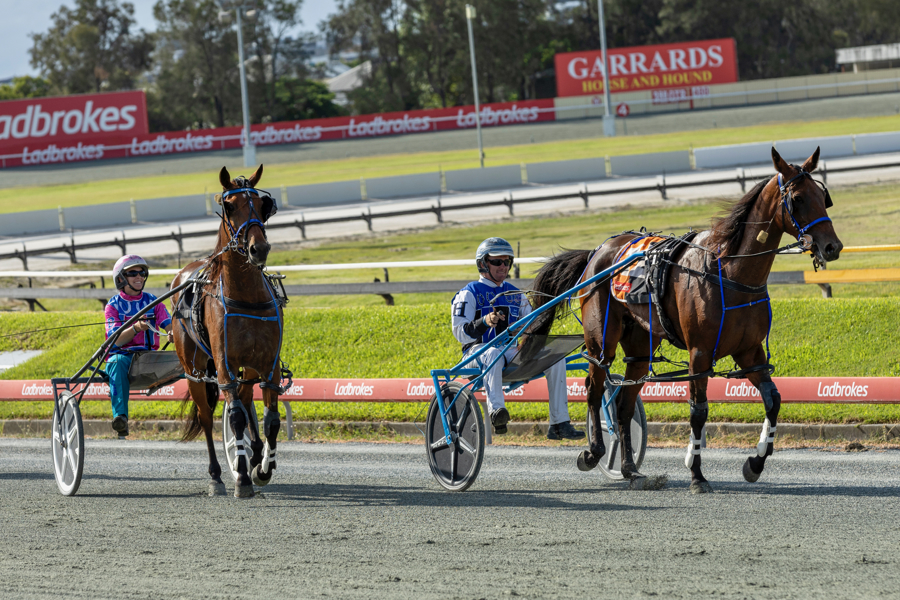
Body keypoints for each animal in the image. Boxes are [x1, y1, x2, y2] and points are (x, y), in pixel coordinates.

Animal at [171, 164, 289, 498]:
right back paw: (217, 476)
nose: (258, 248)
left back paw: (254, 452)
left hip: (245, 367)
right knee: (206, 416)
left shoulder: (268, 364)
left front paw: (262, 468)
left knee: (246, 398)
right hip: (194, 369)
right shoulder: (223, 363)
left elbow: (271, 420)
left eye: (263, 205)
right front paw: (244, 479)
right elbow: (233, 415)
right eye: (230, 206)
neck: (247, 295)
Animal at [529, 147, 842, 493]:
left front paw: (755, 463)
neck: (730, 272)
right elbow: (698, 411)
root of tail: (597, 252)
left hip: (640, 347)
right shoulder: (700, 354)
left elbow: (773, 400)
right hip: (601, 340)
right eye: (798, 198)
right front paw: (696, 474)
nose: (832, 246)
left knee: (624, 403)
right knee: (594, 389)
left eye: (823, 196)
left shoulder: (750, 352)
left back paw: (629, 469)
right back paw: (593, 452)